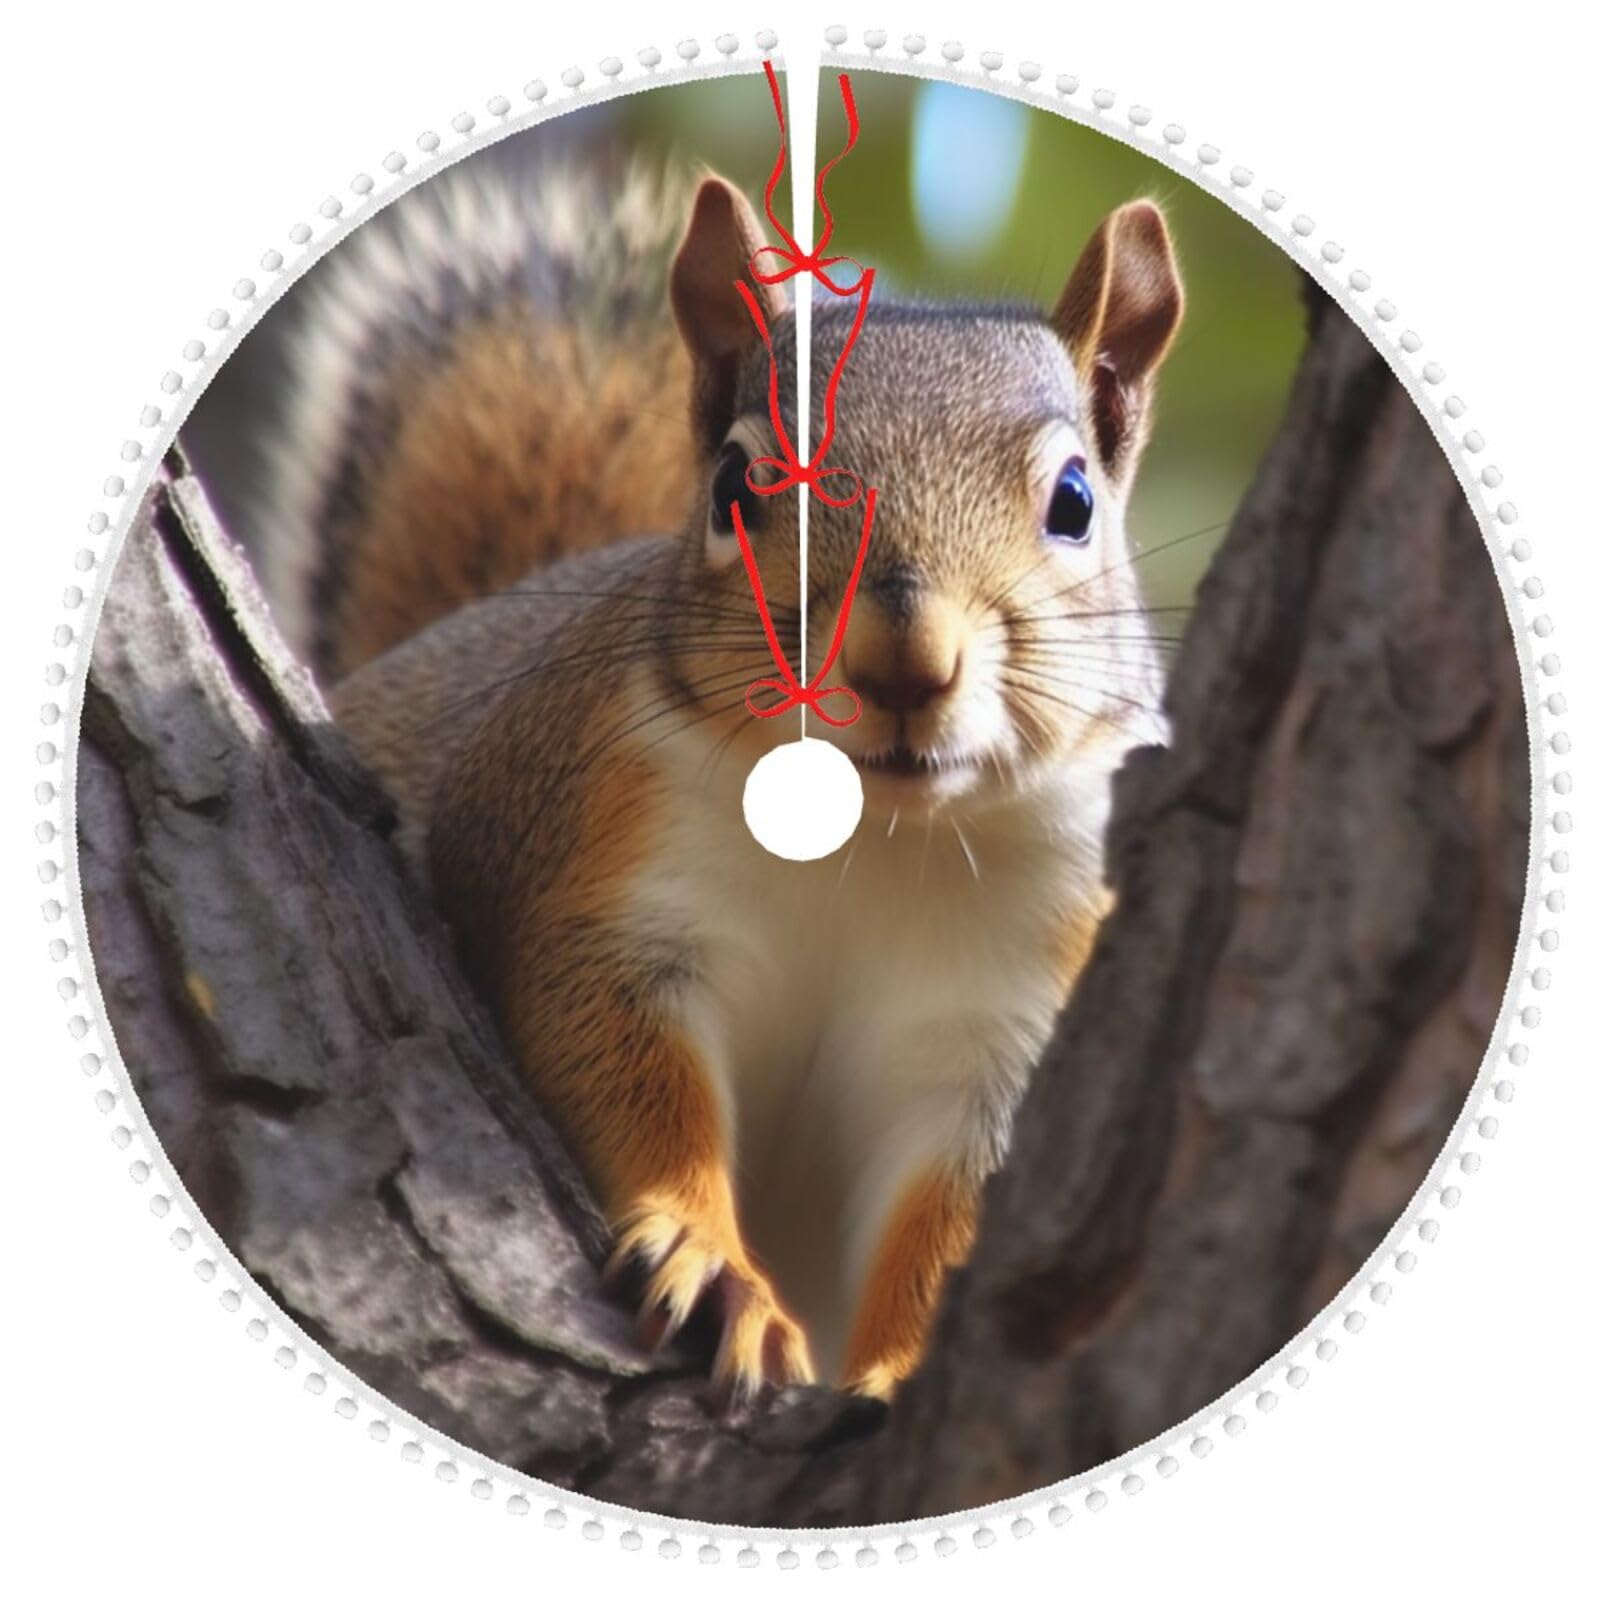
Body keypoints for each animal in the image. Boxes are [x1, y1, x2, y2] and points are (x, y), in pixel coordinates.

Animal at [257, 154, 1184, 1400]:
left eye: (1075, 502)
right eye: (736, 485)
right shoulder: (601, 880)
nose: (902, 656)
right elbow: (626, 1070)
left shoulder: (1011, 1012)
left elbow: (954, 1210)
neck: (875, 838)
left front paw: (897, 1370)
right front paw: (711, 1265)